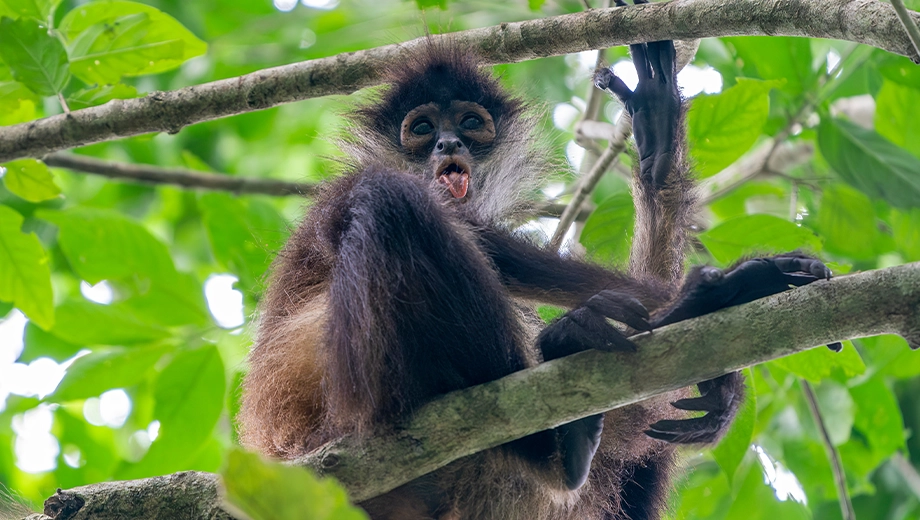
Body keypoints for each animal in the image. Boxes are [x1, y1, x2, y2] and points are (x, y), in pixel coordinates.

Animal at [241, 18, 832, 516]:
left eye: (470, 123)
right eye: (422, 128)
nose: (447, 142)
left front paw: (658, 144)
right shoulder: (340, 194)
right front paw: (703, 298)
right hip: (342, 416)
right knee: (387, 200)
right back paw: (557, 435)